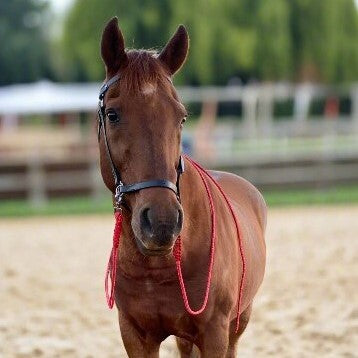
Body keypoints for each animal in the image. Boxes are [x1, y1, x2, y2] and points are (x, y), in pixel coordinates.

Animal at [97, 17, 266, 358]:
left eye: (182, 117)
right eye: (112, 114)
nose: (162, 222)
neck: (157, 267)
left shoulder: (215, 332)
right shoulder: (135, 335)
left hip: (238, 322)